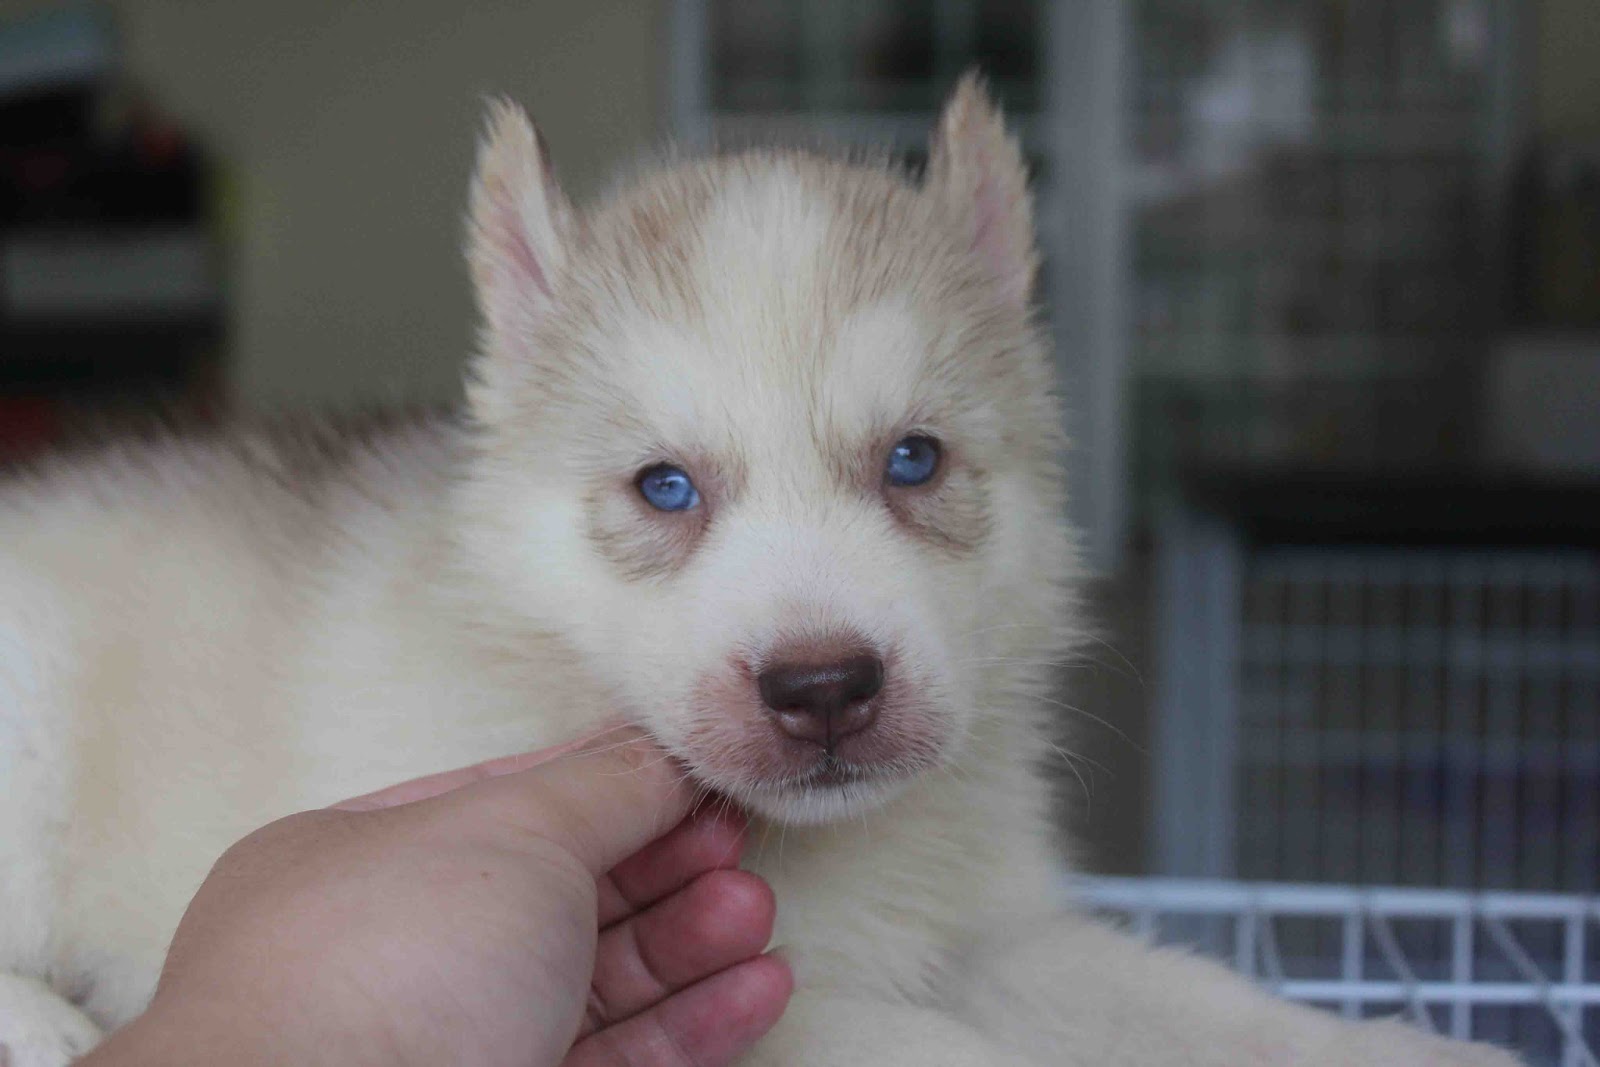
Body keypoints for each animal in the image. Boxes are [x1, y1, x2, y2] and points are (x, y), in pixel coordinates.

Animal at [0, 77, 1516, 1067]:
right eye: (664, 487)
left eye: (914, 460)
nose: (825, 685)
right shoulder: (790, 1009)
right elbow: (965, 1055)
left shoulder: (992, 933)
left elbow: (1197, 999)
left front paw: (1421, 1052)